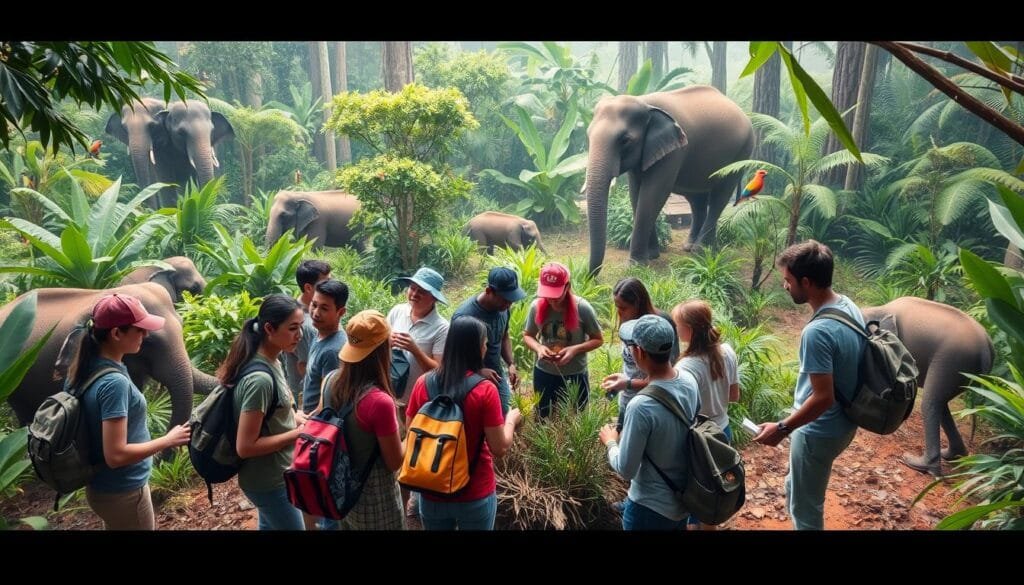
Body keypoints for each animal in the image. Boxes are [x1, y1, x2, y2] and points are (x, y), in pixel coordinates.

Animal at [585, 86, 753, 274]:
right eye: (588, 135)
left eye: (625, 140)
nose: (589, 274)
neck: (644, 101)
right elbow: (635, 194)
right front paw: (652, 255)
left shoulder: (675, 152)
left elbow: (653, 193)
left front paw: (636, 265)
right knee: (697, 200)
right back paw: (696, 248)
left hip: (741, 153)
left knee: (720, 195)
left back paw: (700, 251)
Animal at [860, 297, 995, 475]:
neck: (878, 308)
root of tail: (987, 347)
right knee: (941, 403)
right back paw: (952, 455)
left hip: (953, 361)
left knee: (931, 402)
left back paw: (917, 464)